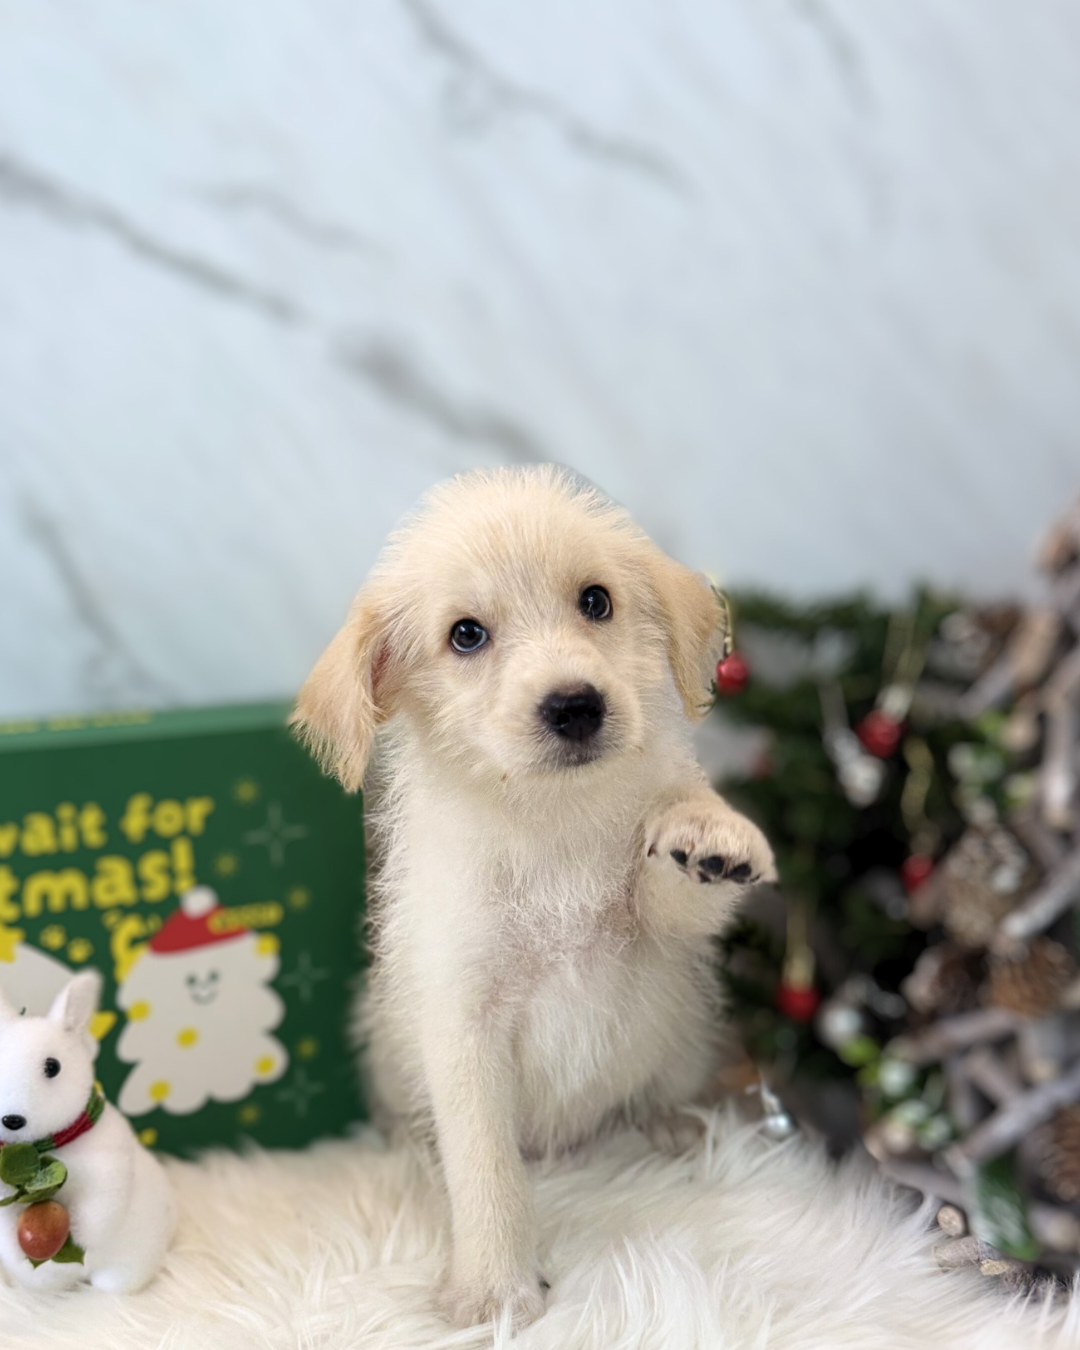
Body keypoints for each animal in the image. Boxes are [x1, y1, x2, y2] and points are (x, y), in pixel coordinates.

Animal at [291, 464, 772, 1328]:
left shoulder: (654, 941)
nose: (576, 706)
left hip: (684, 1035)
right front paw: (493, 1291)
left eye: (596, 601)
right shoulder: (465, 1028)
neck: (551, 817)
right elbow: (486, 1171)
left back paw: (672, 1124)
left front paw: (704, 833)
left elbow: (673, 889)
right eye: (466, 636)